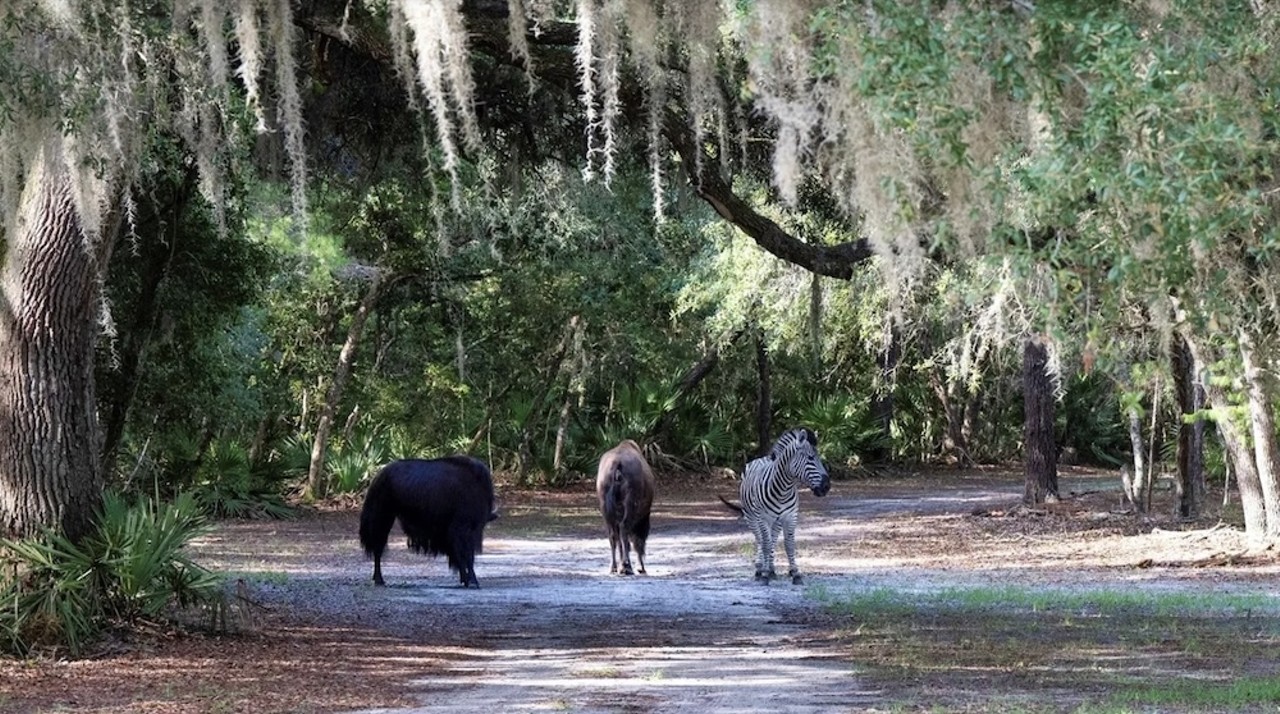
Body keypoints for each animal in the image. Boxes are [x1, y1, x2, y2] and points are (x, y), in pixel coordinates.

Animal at [721, 427, 829, 586]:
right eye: (810, 458)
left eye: (819, 459)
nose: (827, 487)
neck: (783, 490)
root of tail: (762, 458)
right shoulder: (763, 518)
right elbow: (766, 544)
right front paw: (765, 574)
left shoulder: (790, 517)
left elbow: (789, 544)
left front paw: (795, 573)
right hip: (751, 517)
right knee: (761, 540)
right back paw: (760, 569)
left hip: (776, 521)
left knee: (772, 540)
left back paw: (771, 569)